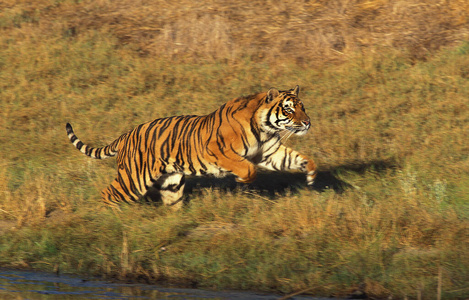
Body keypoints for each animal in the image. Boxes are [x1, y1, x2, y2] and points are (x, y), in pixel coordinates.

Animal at [65, 85, 314, 210]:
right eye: (289, 109)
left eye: (303, 107)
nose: (307, 122)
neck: (265, 128)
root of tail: (126, 135)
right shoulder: (219, 150)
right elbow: (248, 168)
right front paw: (243, 179)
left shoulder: (269, 153)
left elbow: (298, 159)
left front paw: (311, 176)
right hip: (133, 180)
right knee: (108, 194)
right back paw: (117, 217)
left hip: (171, 182)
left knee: (171, 202)